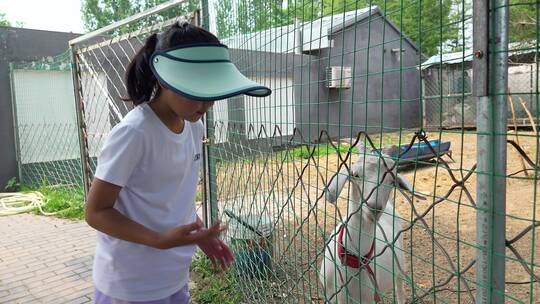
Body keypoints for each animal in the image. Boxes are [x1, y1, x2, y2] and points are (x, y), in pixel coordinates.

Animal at [318, 144, 424, 302]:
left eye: (392, 181)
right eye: (355, 175)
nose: (374, 207)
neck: (353, 265)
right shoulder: (329, 296)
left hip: (400, 265)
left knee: (399, 287)